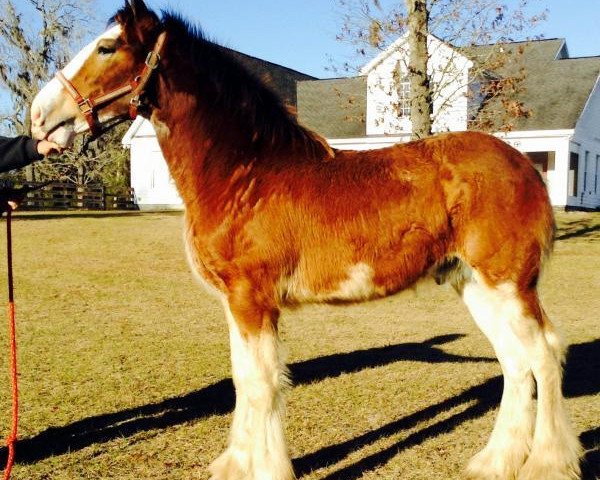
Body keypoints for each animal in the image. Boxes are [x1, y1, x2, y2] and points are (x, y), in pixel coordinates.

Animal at [30, 1, 584, 478]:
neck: (247, 173)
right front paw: (235, 463)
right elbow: (242, 379)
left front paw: (269, 468)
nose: (39, 116)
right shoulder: (236, 304)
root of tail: (525, 167)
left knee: (544, 355)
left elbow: (262, 383)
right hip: (476, 286)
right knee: (516, 365)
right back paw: (494, 462)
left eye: (107, 48)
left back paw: (547, 463)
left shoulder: (254, 300)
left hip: (508, 285)